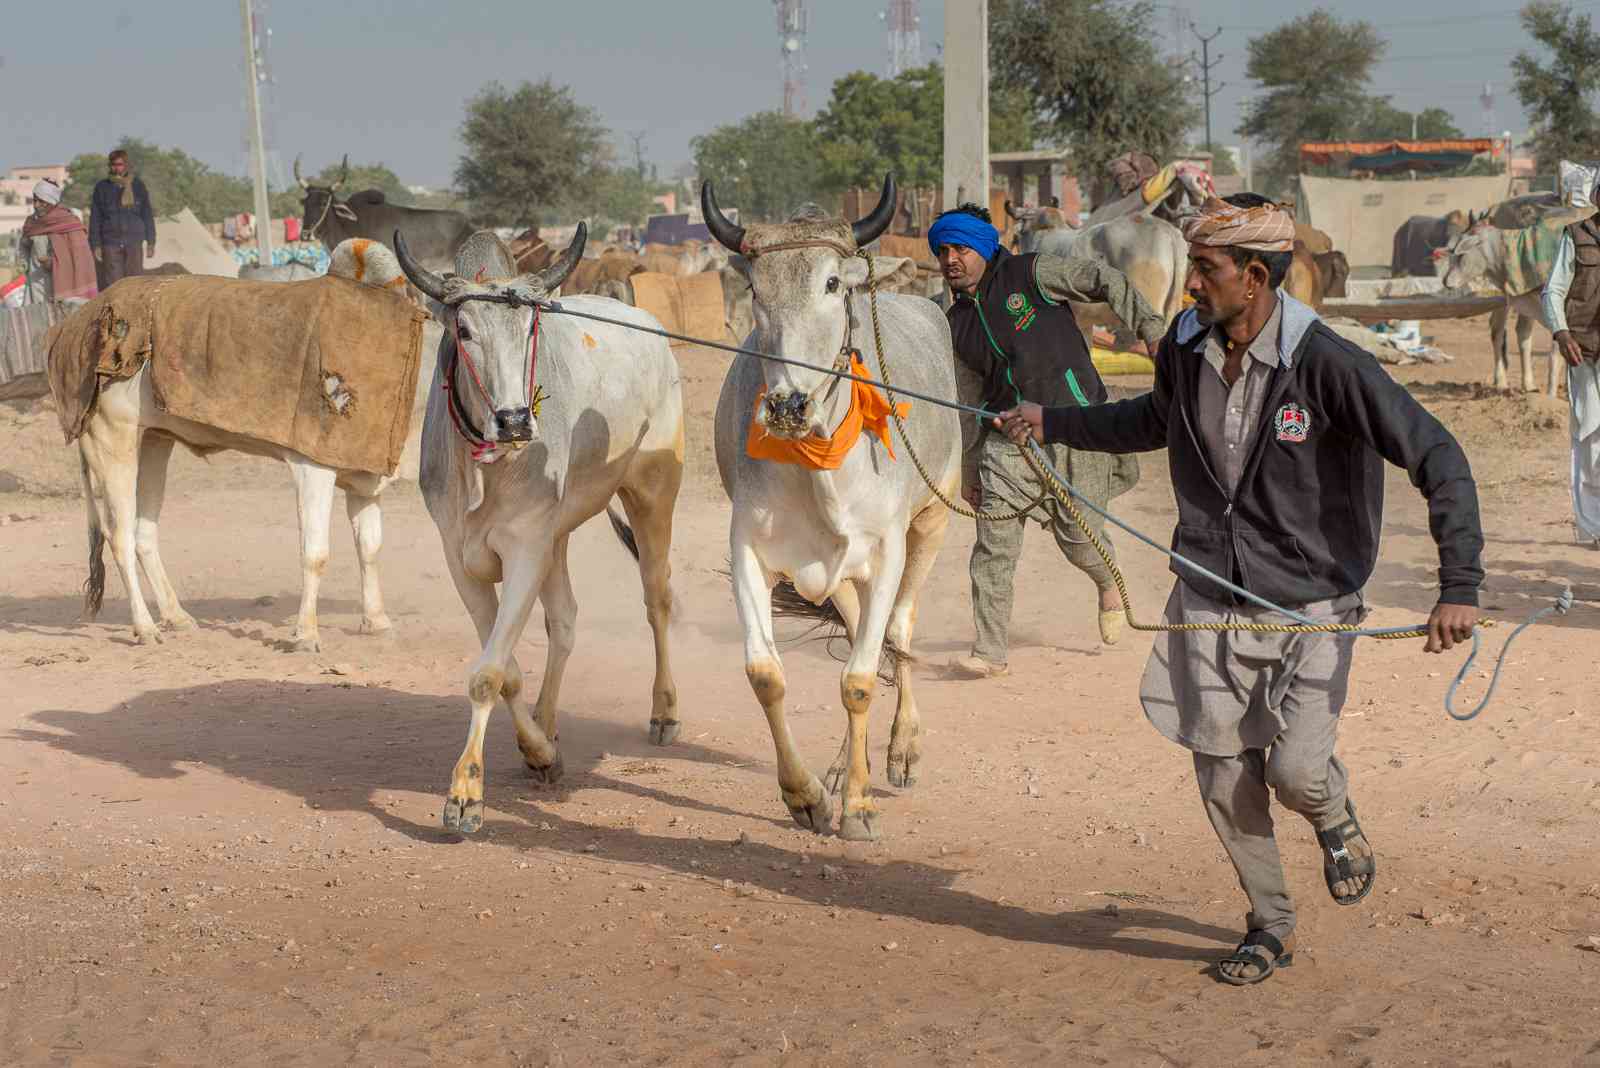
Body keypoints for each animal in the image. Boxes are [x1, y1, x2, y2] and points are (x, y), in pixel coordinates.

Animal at [71, 240, 418, 649]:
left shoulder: (365, 479)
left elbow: (370, 547)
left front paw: (377, 621)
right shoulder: (312, 469)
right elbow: (315, 553)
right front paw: (305, 634)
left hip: (155, 439)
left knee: (144, 534)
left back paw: (177, 617)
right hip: (112, 439)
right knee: (119, 536)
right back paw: (146, 627)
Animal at [394, 226, 685, 835]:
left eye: (531, 325)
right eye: (463, 329)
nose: (513, 420)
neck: (486, 467)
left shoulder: (526, 548)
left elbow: (487, 674)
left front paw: (465, 793)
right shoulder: (461, 558)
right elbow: (505, 670)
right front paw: (538, 752)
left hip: (653, 494)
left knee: (657, 600)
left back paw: (664, 710)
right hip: (561, 533)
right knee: (565, 621)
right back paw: (548, 723)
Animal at [704, 176, 961, 841]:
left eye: (831, 284)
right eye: (755, 287)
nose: (788, 405)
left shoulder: (888, 550)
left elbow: (863, 681)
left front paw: (861, 806)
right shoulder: (750, 551)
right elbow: (767, 676)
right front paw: (808, 796)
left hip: (933, 522)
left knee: (897, 633)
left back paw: (900, 749)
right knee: (857, 634)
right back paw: (847, 767)